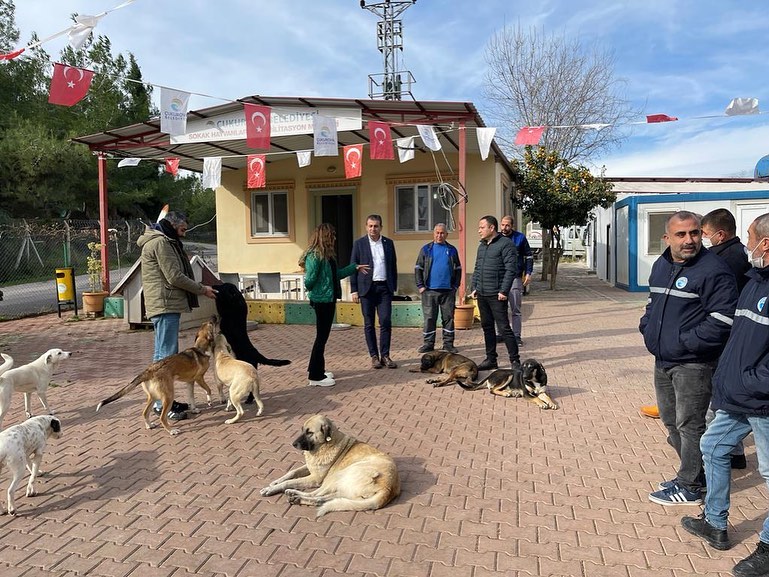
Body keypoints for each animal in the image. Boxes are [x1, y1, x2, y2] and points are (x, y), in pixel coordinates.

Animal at [260, 414, 400, 516]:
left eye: (309, 432)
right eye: (302, 430)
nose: (293, 444)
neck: (325, 445)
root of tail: (388, 488)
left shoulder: (315, 478)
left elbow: (290, 482)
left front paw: (270, 489)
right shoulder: (310, 468)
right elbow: (292, 472)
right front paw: (276, 482)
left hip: (338, 475)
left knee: (316, 494)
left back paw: (294, 495)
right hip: (346, 490)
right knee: (323, 498)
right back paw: (296, 497)